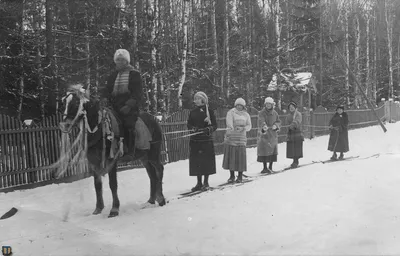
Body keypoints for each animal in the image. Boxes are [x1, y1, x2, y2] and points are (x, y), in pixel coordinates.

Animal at [59, 85, 166, 217]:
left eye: (76, 103)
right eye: (63, 102)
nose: (64, 125)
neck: (99, 130)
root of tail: (155, 120)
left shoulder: (111, 161)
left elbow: (113, 184)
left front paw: (114, 209)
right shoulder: (94, 162)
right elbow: (97, 185)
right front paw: (98, 209)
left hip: (153, 153)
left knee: (159, 169)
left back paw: (161, 199)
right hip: (144, 157)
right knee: (151, 174)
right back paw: (150, 200)